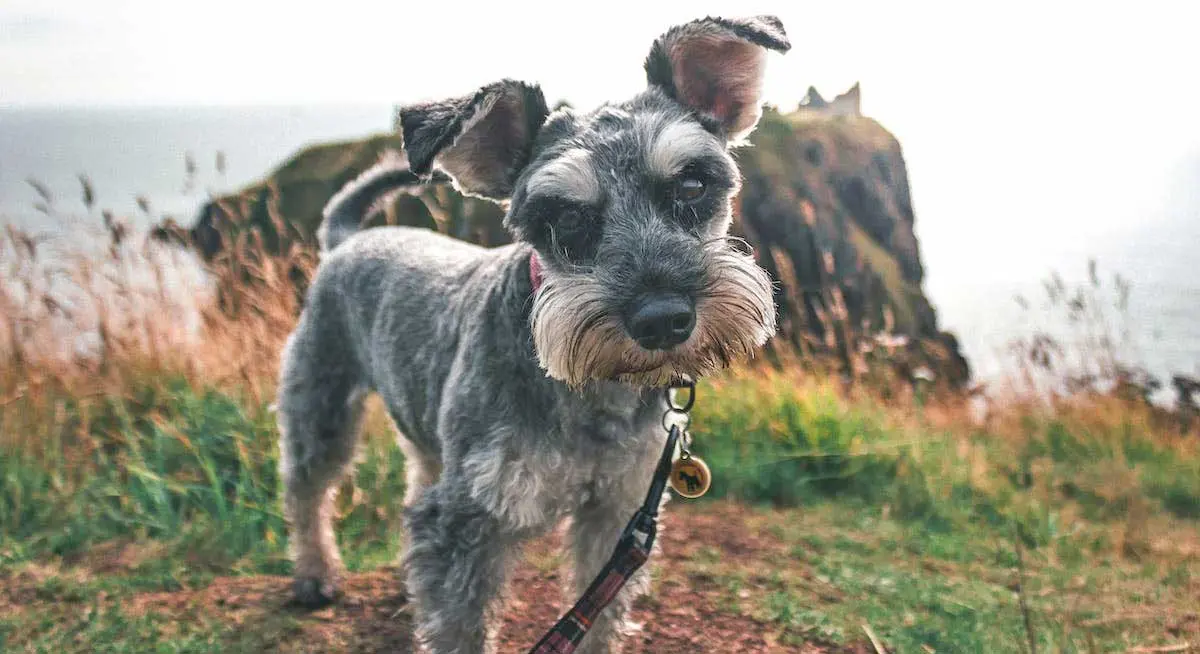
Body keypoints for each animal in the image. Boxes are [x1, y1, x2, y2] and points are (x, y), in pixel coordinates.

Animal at [277, 15, 792, 652]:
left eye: (692, 186)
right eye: (565, 217)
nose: (662, 318)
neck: (595, 391)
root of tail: (346, 239)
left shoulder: (617, 514)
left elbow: (599, 615)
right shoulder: (469, 521)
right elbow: (460, 625)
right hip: (320, 405)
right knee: (307, 488)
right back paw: (314, 575)